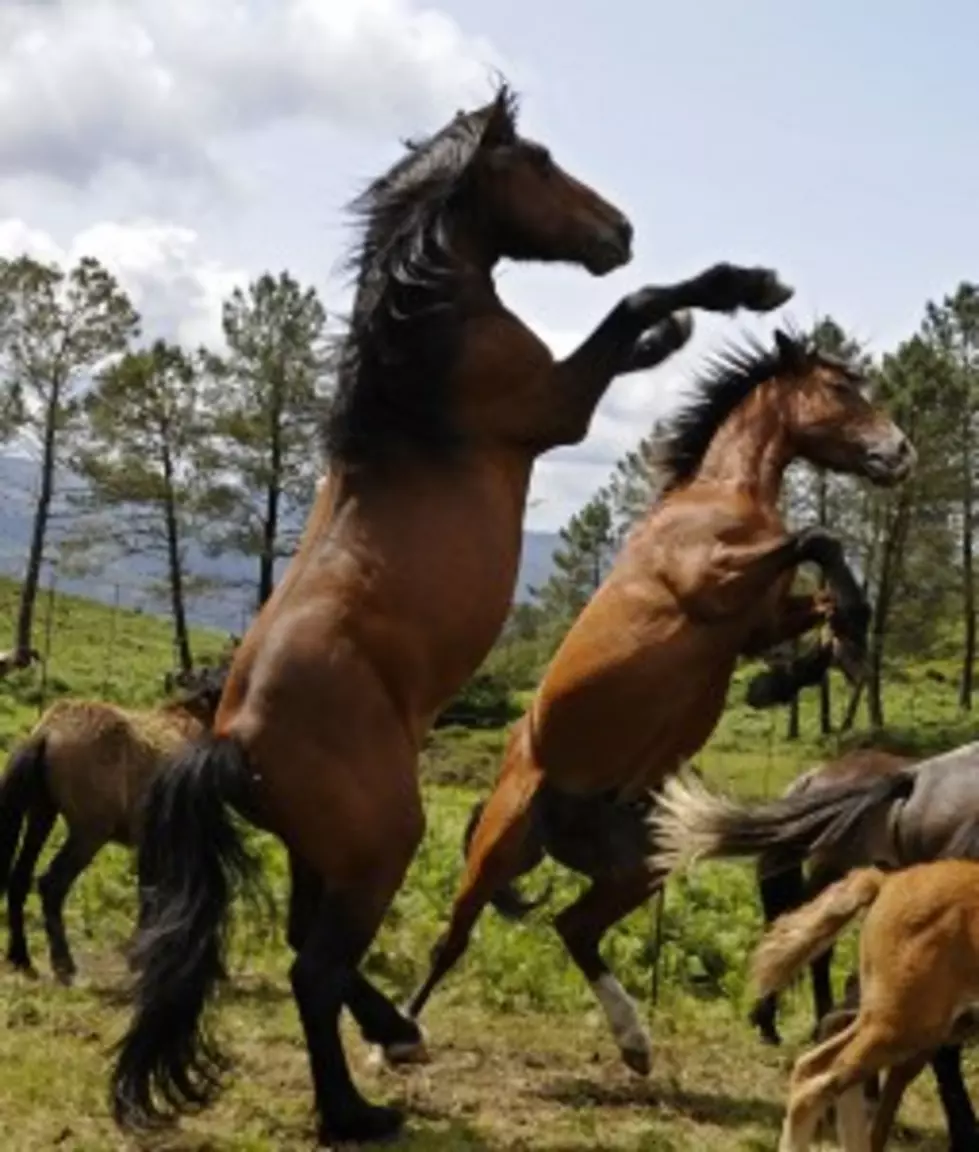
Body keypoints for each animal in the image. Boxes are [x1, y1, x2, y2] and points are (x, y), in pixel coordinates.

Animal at [108, 85, 792, 1147]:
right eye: (539, 161)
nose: (620, 230)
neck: (424, 358)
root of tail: (230, 742)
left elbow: (633, 327)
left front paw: (682, 332)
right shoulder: (555, 404)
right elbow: (628, 311)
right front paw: (740, 288)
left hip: (324, 856)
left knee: (316, 950)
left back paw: (397, 1035)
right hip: (383, 840)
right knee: (314, 968)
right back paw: (357, 1108)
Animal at [398, 327, 916, 1078]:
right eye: (841, 389)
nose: (900, 452)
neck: (721, 498)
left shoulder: (758, 621)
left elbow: (819, 594)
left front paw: (824, 655)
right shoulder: (715, 585)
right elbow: (820, 537)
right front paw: (833, 645)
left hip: (639, 868)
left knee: (574, 927)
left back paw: (633, 1043)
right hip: (499, 850)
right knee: (456, 936)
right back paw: (395, 1039)